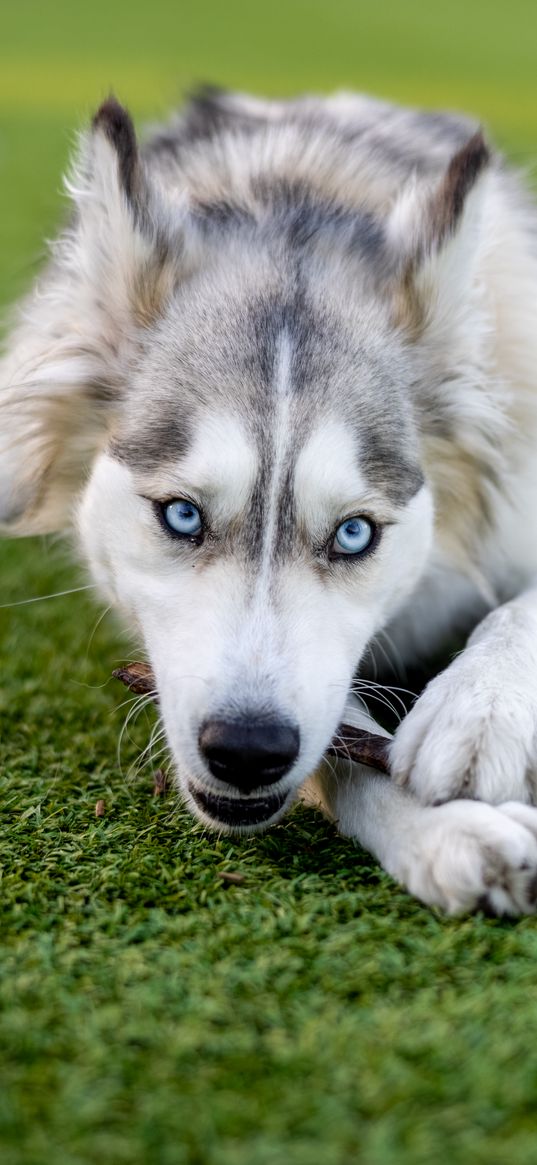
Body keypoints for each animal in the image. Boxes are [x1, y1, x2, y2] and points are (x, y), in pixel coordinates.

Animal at [3, 86, 535, 913]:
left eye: (353, 534)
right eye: (181, 515)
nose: (247, 751)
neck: (299, 202)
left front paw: (478, 709)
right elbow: (342, 740)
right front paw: (448, 829)